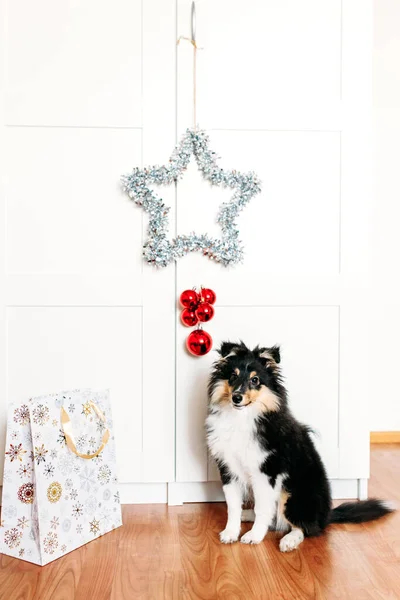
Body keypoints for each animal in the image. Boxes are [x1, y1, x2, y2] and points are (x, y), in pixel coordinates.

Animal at [205, 340, 392, 552]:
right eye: (233, 376)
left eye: (255, 380)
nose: (236, 398)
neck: (242, 418)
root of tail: (326, 516)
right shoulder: (228, 468)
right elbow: (233, 505)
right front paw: (230, 533)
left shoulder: (267, 472)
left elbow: (262, 508)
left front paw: (254, 536)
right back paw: (248, 515)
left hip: (295, 493)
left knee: (303, 527)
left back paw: (289, 540)